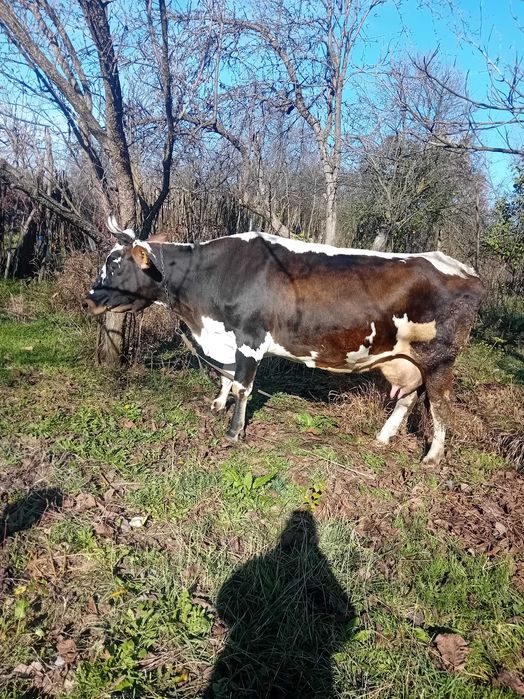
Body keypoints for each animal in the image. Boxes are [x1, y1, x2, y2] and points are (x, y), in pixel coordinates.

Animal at [84, 217, 485, 465]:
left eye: (115, 264)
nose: (89, 299)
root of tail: (464, 269)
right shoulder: (227, 338)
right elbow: (227, 376)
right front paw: (218, 404)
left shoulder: (249, 338)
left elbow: (243, 386)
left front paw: (234, 432)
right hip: (401, 358)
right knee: (407, 397)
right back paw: (383, 438)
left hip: (439, 359)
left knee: (439, 403)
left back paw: (432, 456)